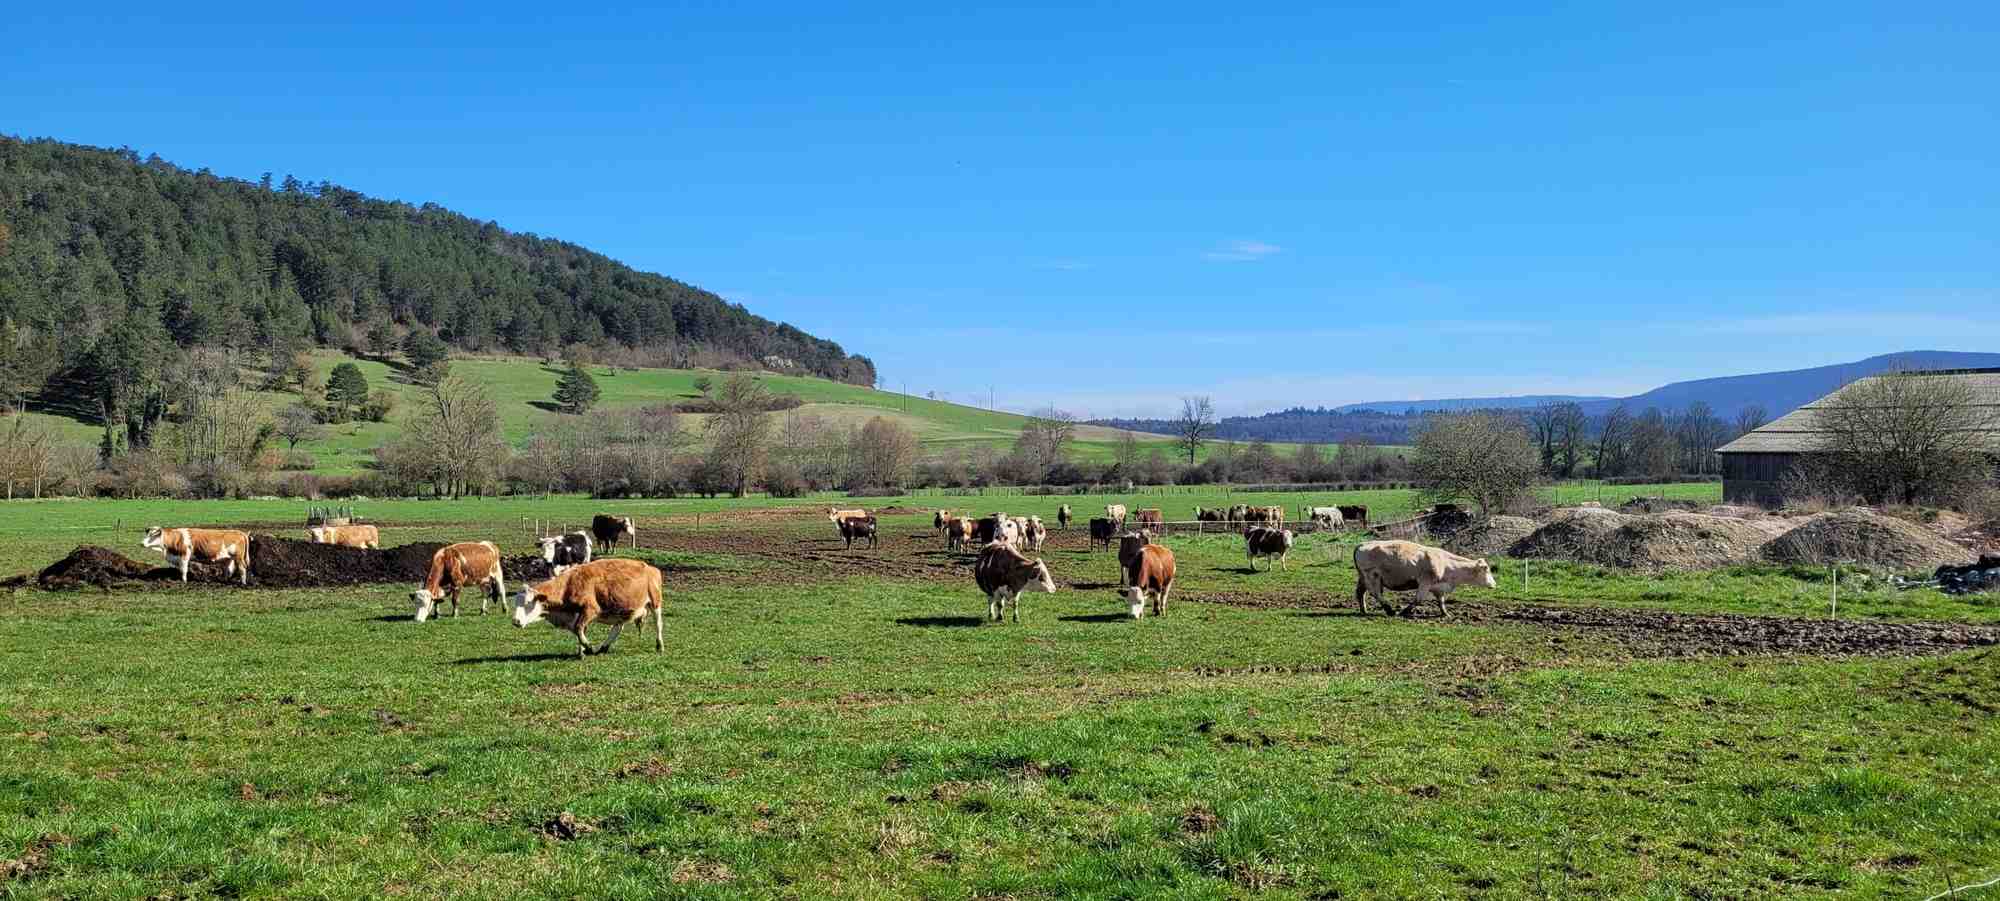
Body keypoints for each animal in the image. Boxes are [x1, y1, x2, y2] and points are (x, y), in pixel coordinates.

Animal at [511, 558, 665, 658]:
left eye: (528, 602)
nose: (515, 621)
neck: (569, 584)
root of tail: (651, 568)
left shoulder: (590, 610)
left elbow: (579, 629)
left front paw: (588, 648)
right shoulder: (577, 614)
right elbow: (579, 631)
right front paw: (582, 652)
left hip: (655, 602)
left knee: (658, 624)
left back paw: (660, 645)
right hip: (622, 610)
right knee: (618, 627)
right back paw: (604, 647)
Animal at [1352, 540, 1495, 618]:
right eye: (1486, 569)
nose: (1494, 584)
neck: (1446, 563)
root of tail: (1362, 544)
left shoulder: (1439, 587)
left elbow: (1441, 602)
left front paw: (1446, 614)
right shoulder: (1425, 583)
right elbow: (1418, 599)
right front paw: (1404, 611)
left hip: (1363, 577)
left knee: (1360, 592)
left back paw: (1364, 610)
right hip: (1372, 576)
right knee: (1376, 593)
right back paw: (1389, 610)